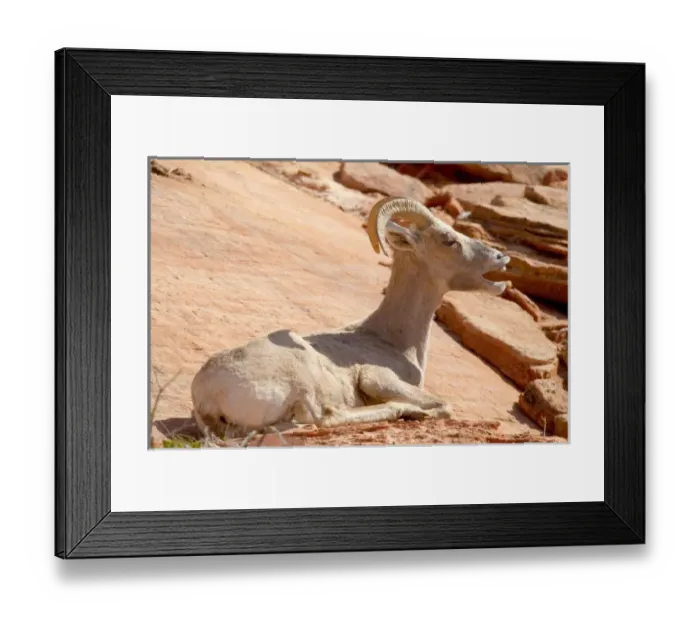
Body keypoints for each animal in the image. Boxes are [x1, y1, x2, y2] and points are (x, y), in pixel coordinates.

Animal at [190, 196, 511, 442]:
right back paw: (402, 410)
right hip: (303, 374)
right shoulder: (376, 377)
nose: (501, 257)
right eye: (449, 241)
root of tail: (206, 396)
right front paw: (416, 411)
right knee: (325, 418)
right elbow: (444, 404)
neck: (393, 340)